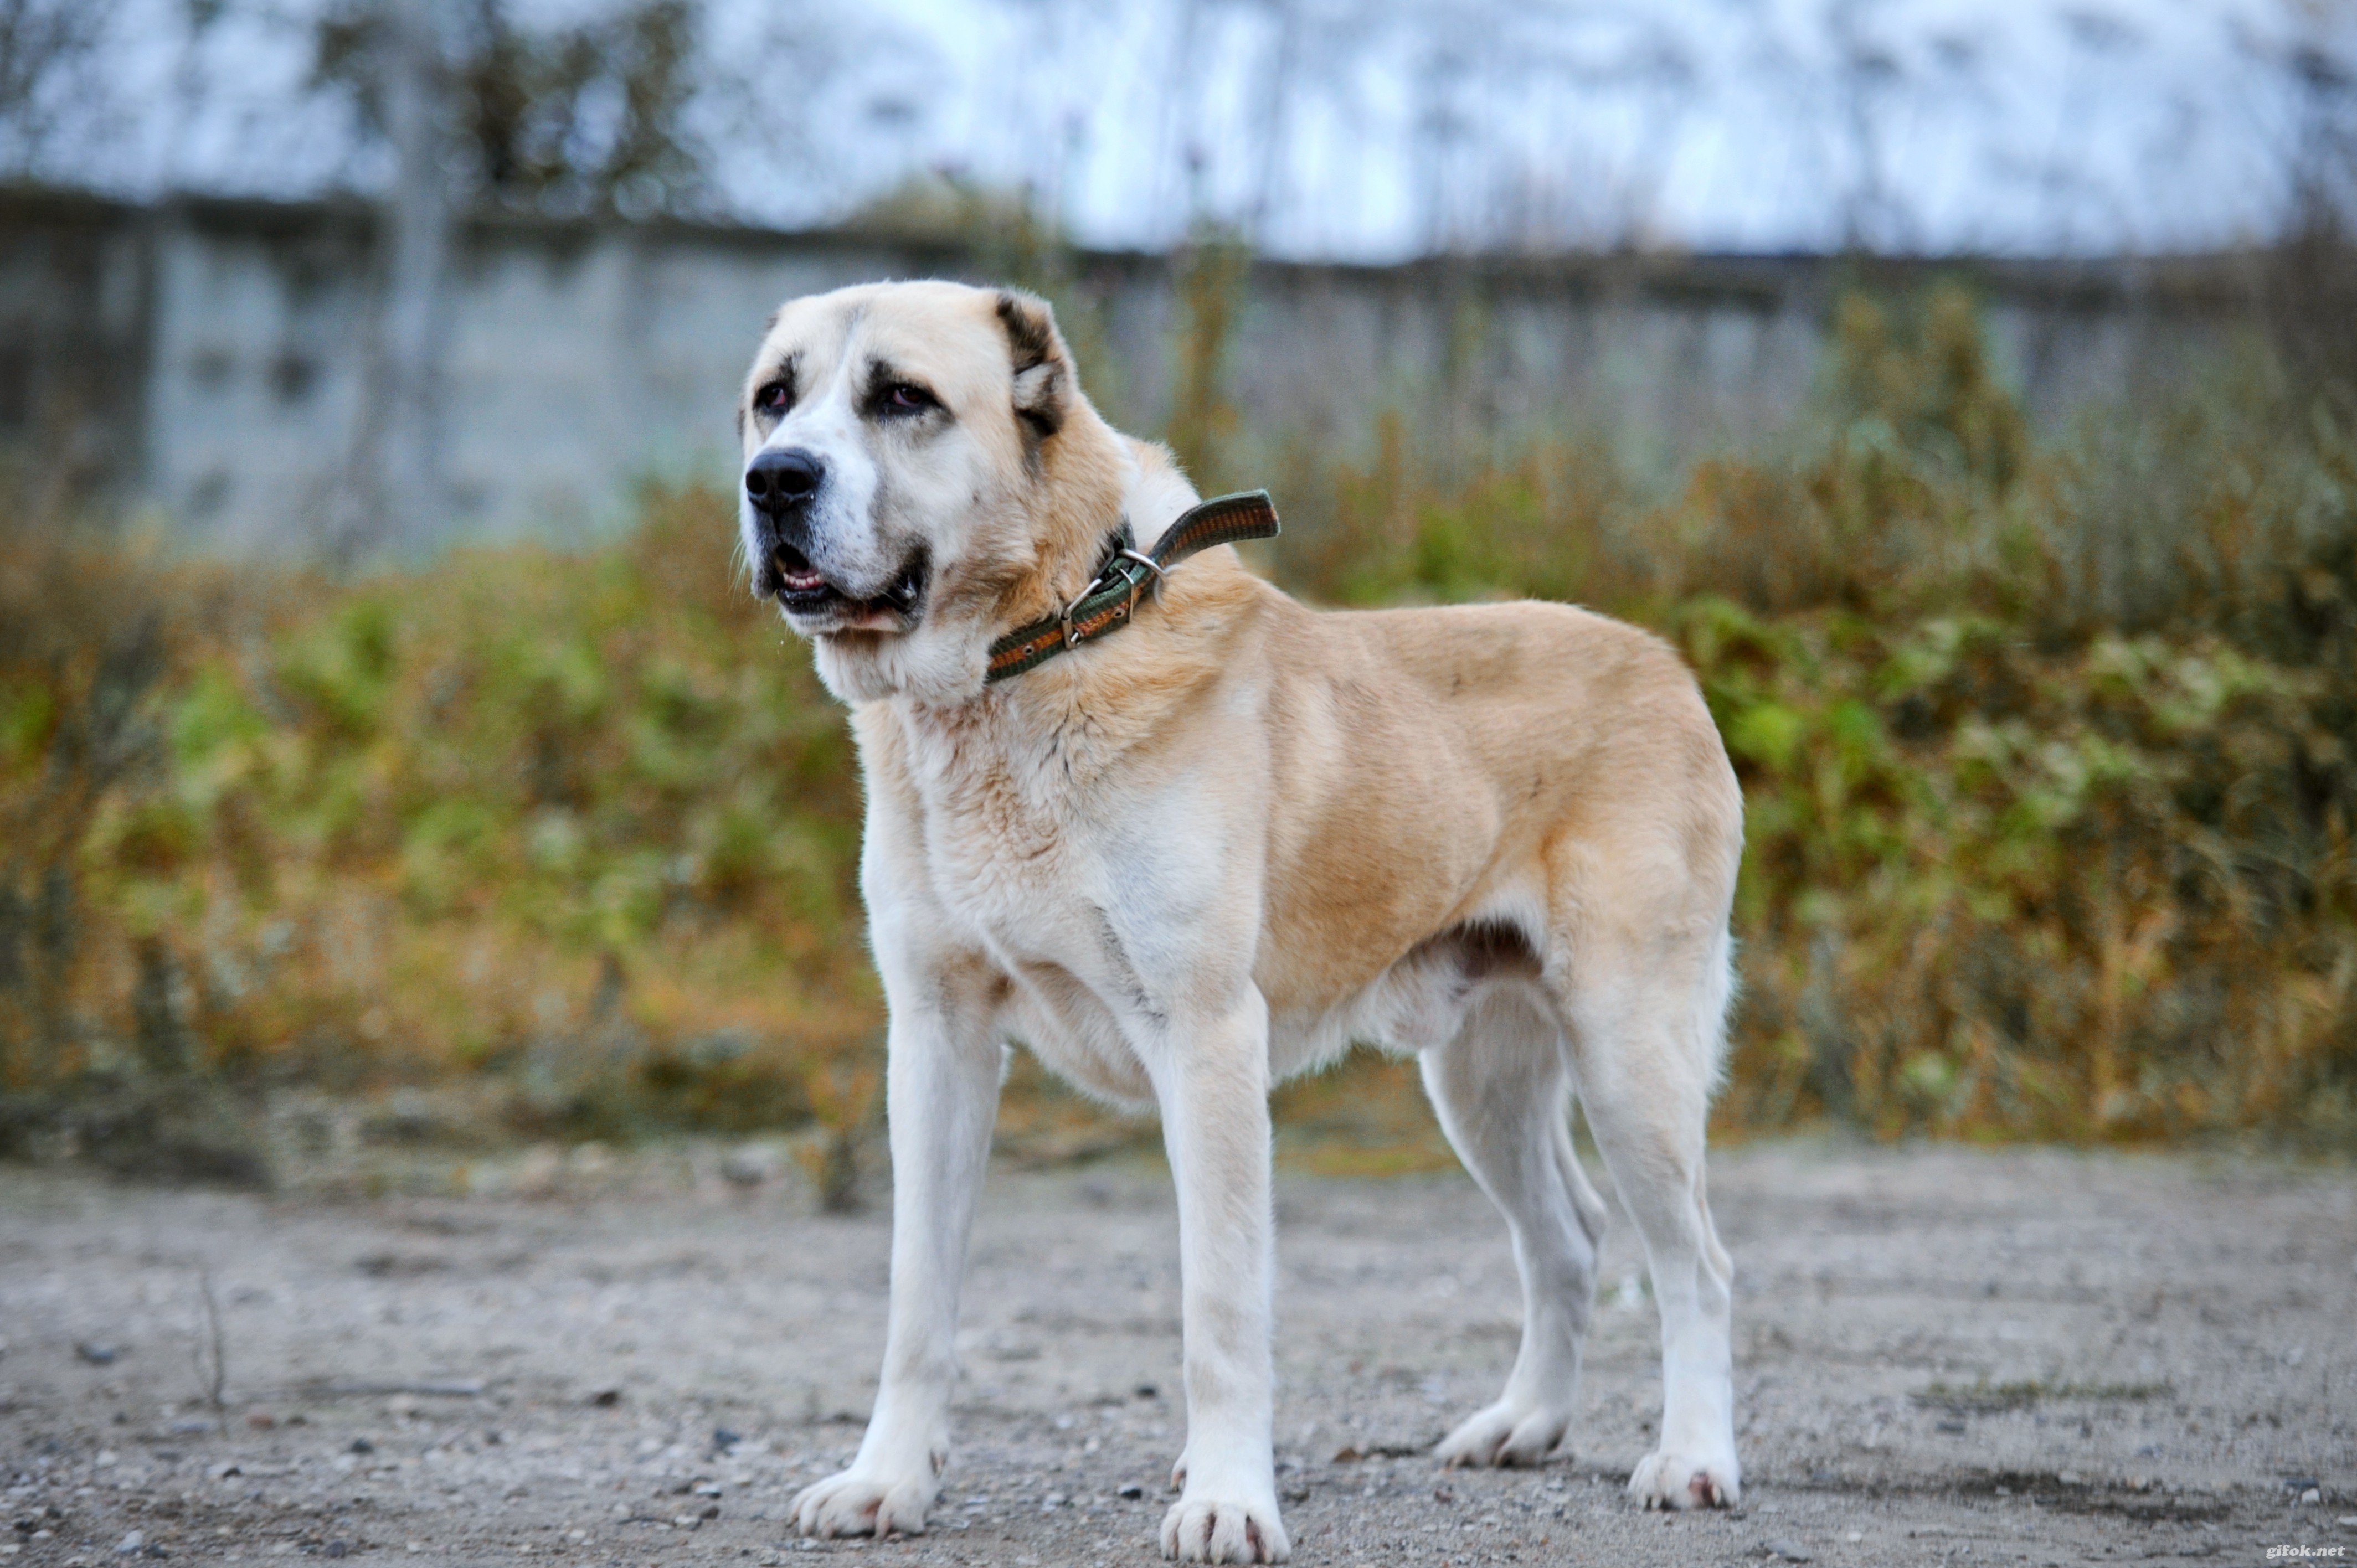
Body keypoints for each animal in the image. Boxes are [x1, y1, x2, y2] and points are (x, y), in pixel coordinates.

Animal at [740, 278, 1753, 1556]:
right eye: (774, 397)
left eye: (902, 398)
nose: (773, 479)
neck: (1029, 657)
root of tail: (1664, 664)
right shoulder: (935, 1037)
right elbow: (917, 1294)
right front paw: (888, 1481)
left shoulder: (1207, 1036)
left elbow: (1219, 1308)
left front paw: (1226, 1499)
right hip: (1479, 1080)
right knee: (1566, 1237)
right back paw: (1523, 1425)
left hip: (1630, 1057)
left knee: (1697, 1260)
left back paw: (1695, 1458)